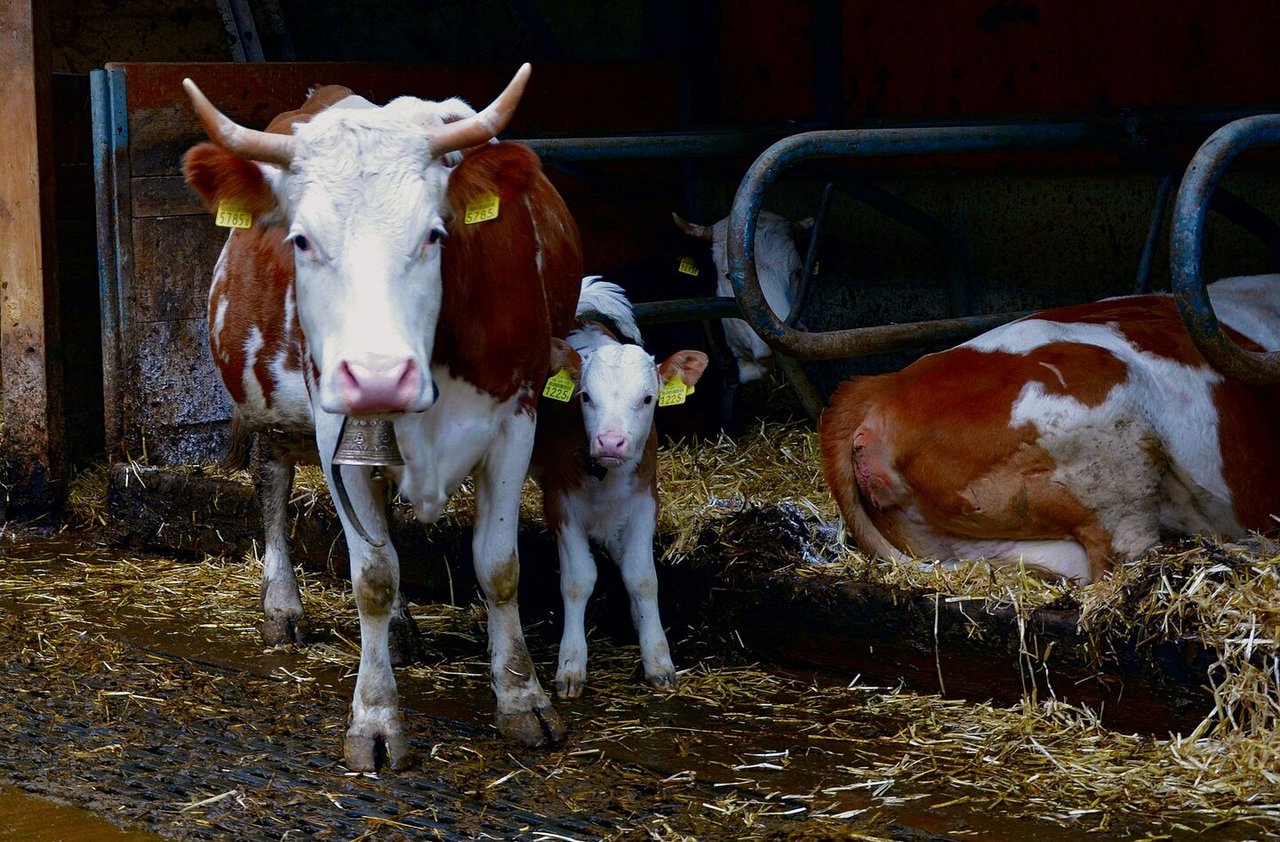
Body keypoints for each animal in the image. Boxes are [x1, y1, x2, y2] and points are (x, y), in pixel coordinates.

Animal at [180, 63, 581, 767]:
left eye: (434, 234)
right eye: (301, 239)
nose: (376, 376)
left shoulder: (517, 414)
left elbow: (499, 567)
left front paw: (522, 699)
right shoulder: (331, 426)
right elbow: (372, 574)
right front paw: (374, 720)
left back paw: (397, 630)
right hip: (276, 410)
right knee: (273, 479)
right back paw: (282, 606)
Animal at [532, 275, 711, 696]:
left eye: (648, 398)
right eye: (585, 396)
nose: (611, 442)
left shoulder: (645, 499)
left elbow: (643, 577)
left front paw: (657, 657)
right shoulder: (560, 502)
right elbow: (578, 580)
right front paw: (571, 665)